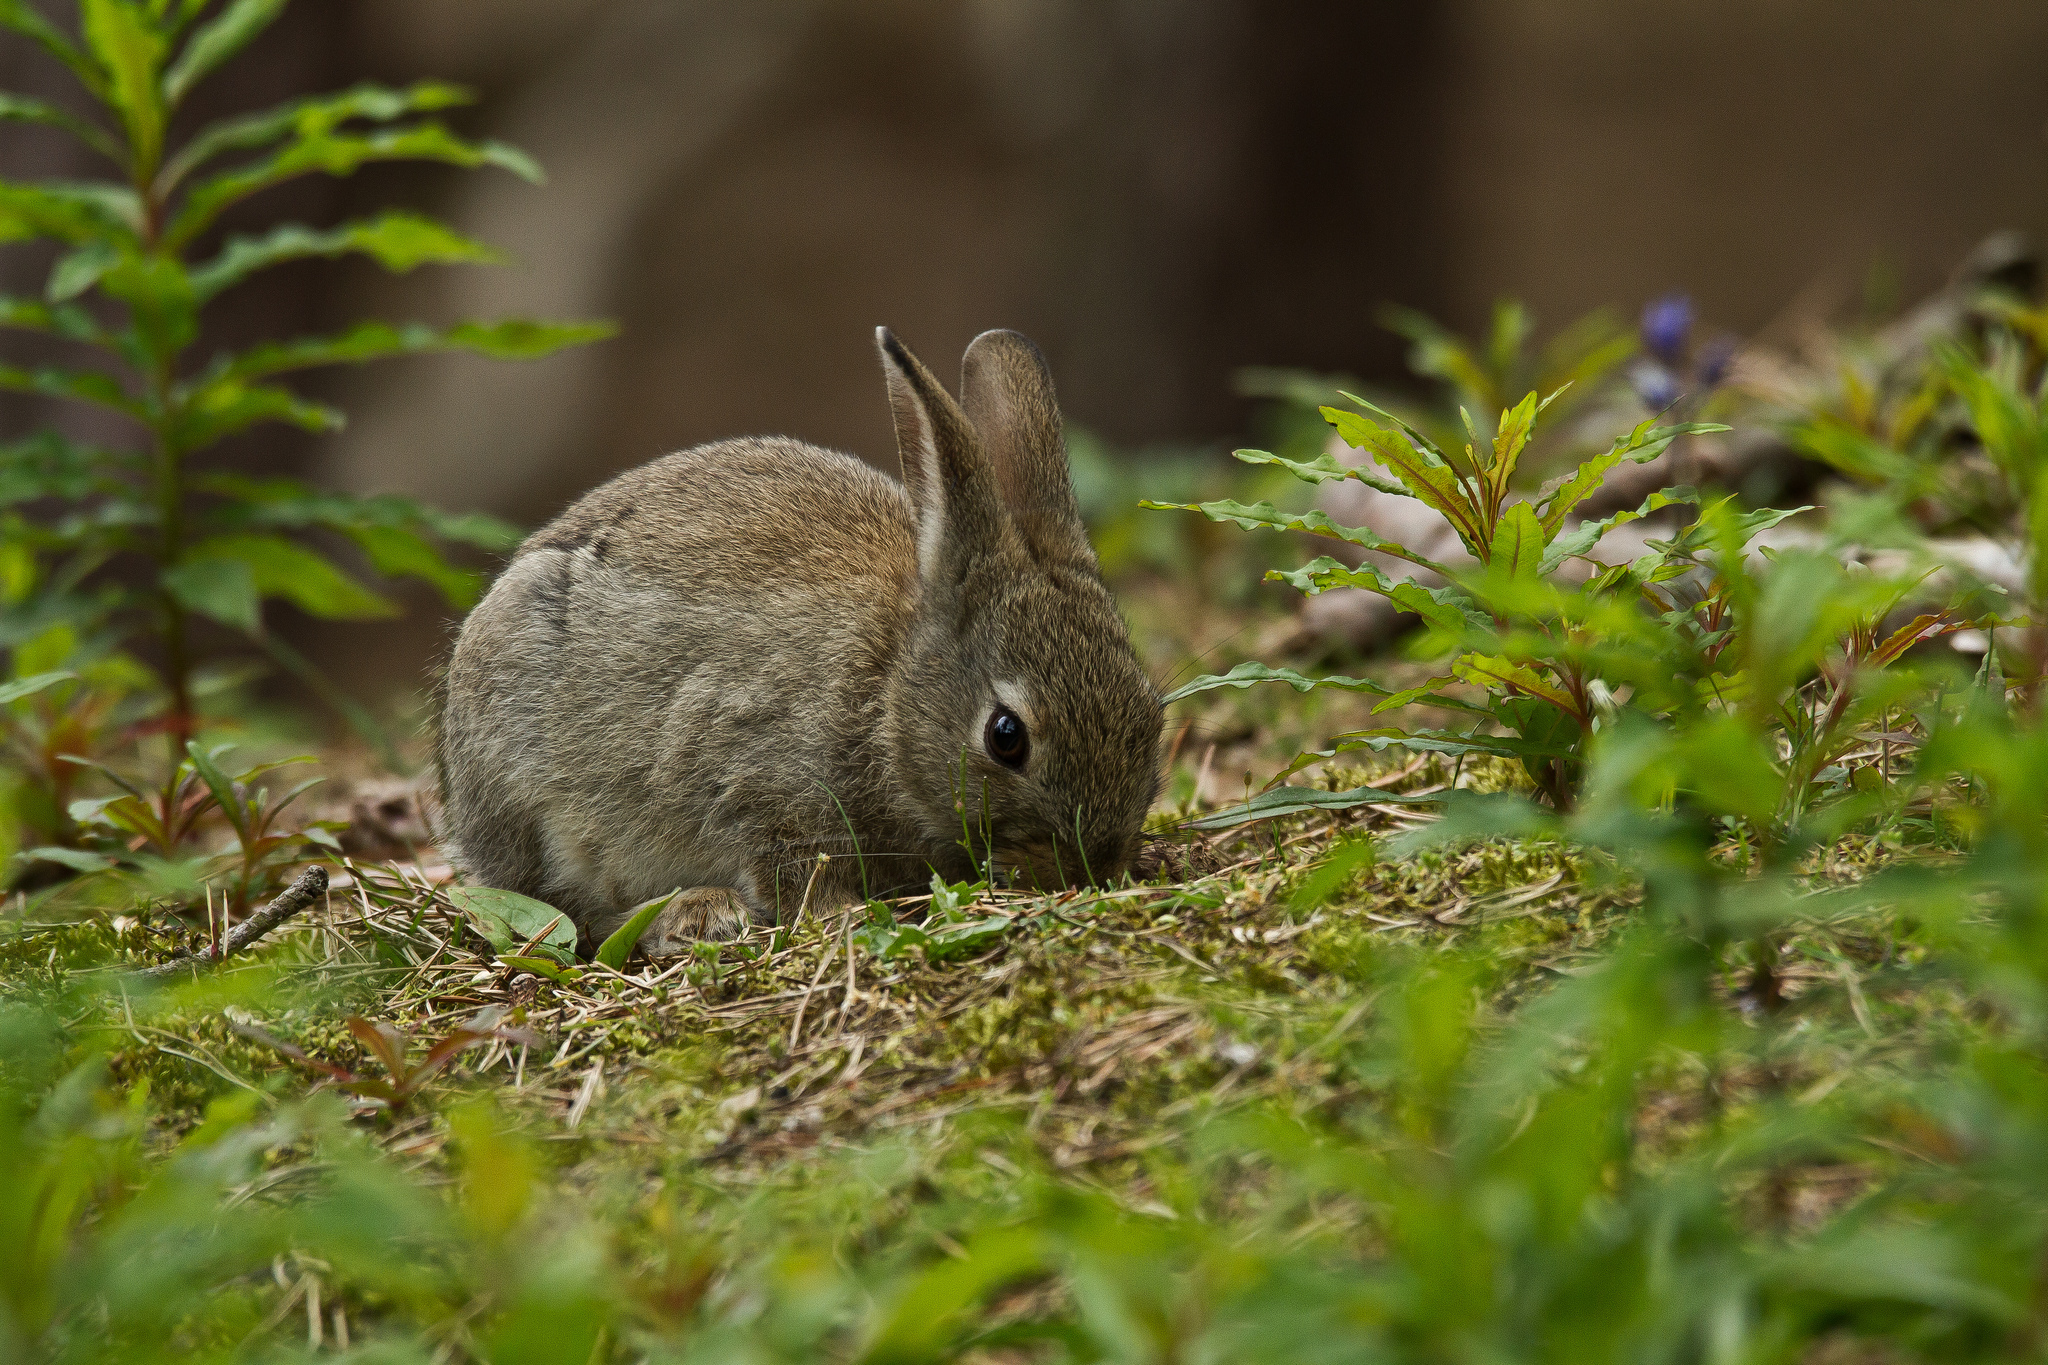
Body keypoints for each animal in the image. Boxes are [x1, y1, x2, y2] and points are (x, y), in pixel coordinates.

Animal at [432, 327, 1171, 957]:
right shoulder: (757, 783)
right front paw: (845, 917)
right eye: (1006, 736)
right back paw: (695, 915)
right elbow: (790, 867)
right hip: (525, 786)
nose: (1095, 865)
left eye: (1151, 714)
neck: (889, 695)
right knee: (564, 908)